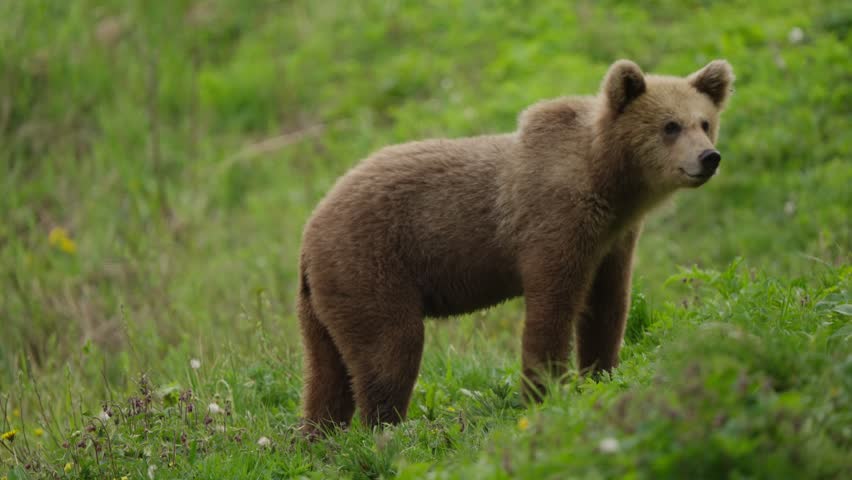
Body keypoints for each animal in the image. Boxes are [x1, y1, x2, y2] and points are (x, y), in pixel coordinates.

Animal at [296, 59, 734, 433]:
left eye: (705, 122)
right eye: (670, 126)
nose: (708, 157)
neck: (607, 179)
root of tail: (310, 230)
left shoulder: (614, 240)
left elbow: (607, 307)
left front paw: (600, 374)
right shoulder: (555, 222)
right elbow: (552, 308)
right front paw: (546, 393)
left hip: (323, 300)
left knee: (326, 373)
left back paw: (321, 437)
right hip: (371, 265)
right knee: (390, 349)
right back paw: (387, 430)